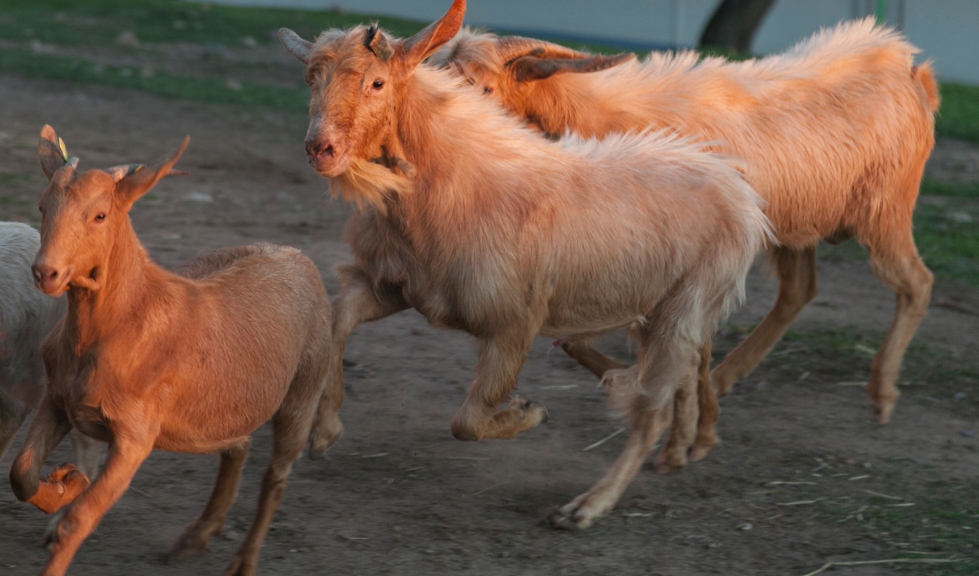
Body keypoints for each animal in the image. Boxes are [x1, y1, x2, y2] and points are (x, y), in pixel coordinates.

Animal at [6, 127, 336, 576]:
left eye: (100, 215)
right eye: (42, 206)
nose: (46, 272)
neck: (119, 323)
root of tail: (297, 257)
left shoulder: (134, 436)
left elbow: (80, 520)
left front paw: (68, 497)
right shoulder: (58, 400)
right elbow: (21, 473)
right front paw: (65, 484)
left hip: (303, 390)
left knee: (277, 475)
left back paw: (243, 562)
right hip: (230, 404)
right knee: (239, 446)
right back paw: (196, 536)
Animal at [278, 0, 772, 528]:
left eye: (376, 82)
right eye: (311, 78)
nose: (321, 149)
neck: (453, 181)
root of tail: (737, 188)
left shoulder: (512, 325)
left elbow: (467, 421)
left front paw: (528, 413)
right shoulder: (400, 287)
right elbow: (339, 319)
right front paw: (324, 430)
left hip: (686, 305)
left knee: (653, 407)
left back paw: (588, 505)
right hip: (656, 307)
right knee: (671, 370)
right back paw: (654, 421)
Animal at [436, 20, 940, 468]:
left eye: (484, 87)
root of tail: (909, 66)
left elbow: (684, 344)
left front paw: (688, 436)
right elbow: (583, 339)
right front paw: (657, 401)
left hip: (884, 210)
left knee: (916, 282)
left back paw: (881, 395)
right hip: (797, 222)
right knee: (799, 290)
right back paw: (727, 378)